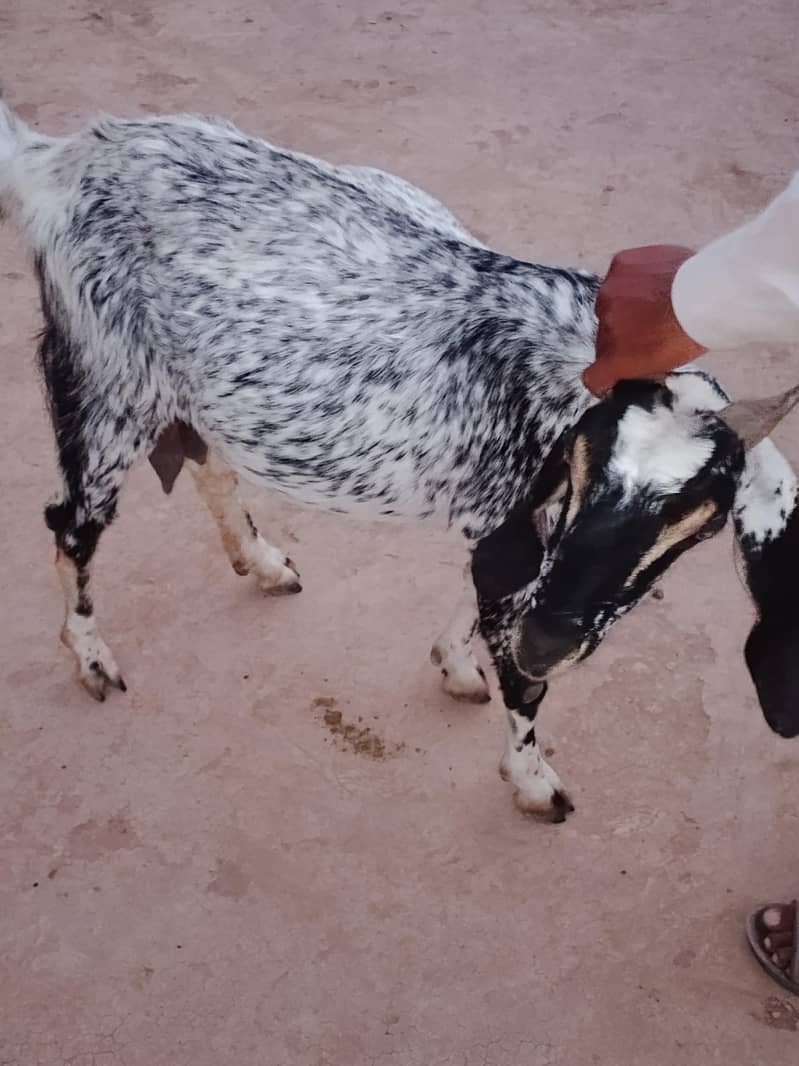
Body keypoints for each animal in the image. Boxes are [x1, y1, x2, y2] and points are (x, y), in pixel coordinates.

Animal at [2, 103, 797, 822]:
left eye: (695, 519)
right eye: (577, 471)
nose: (551, 640)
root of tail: (57, 159)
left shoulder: (505, 523)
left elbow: (486, 601)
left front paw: (456, 664)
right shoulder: (515, 530)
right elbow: (522, 683)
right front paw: (533, 780)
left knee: (205, 460)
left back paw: (260, 560)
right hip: (106, 379)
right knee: (73, 521)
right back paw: (92, 657)